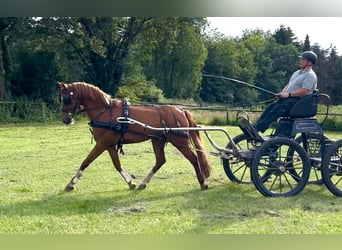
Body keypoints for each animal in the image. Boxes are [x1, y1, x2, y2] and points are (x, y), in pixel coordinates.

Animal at [58, 81, 211, 190]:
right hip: (158, 140)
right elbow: (117, 164)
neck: (105, 111)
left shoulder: (102, 144)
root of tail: (180, 110)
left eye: (66, 99)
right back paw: (143, 183)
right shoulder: (109, 145)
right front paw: (130, 182)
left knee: (194, 159)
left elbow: (86, 161)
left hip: (180, 142)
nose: (65, 120)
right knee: (160, 160)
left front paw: (72, 183)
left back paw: (203, 183)